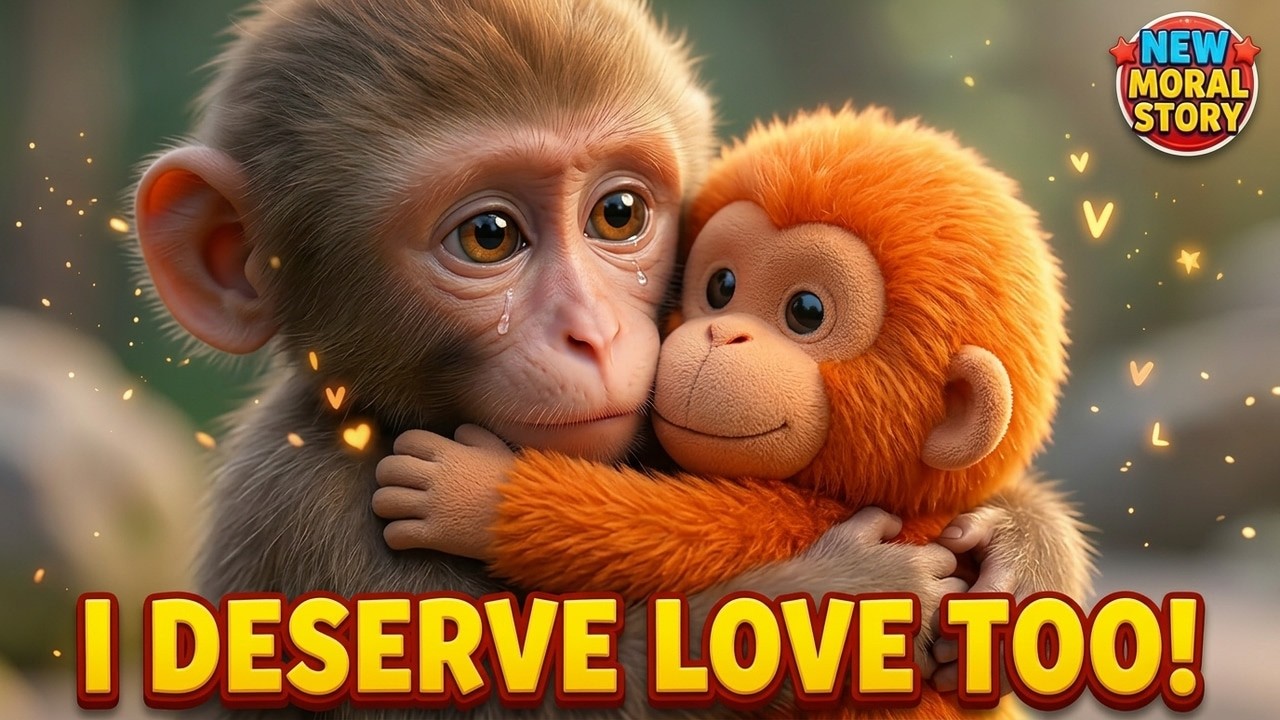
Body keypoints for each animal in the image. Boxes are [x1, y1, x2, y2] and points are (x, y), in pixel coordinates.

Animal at [373, 106, 1095, 718]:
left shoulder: (794, 512)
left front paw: (469, 489)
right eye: (721, 286)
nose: (722, 334)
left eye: (806, 311)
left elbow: (656, 535)